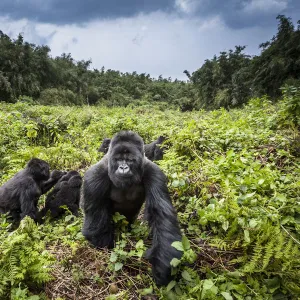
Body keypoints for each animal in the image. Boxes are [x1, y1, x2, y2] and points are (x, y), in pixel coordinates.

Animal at [81, 131, 180, 286]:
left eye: (130, 160)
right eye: (118, 159)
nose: (123, 168)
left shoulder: (154, 172)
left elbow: (161, 215)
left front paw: (162, 269)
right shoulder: (94, 176)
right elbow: (95, 226)